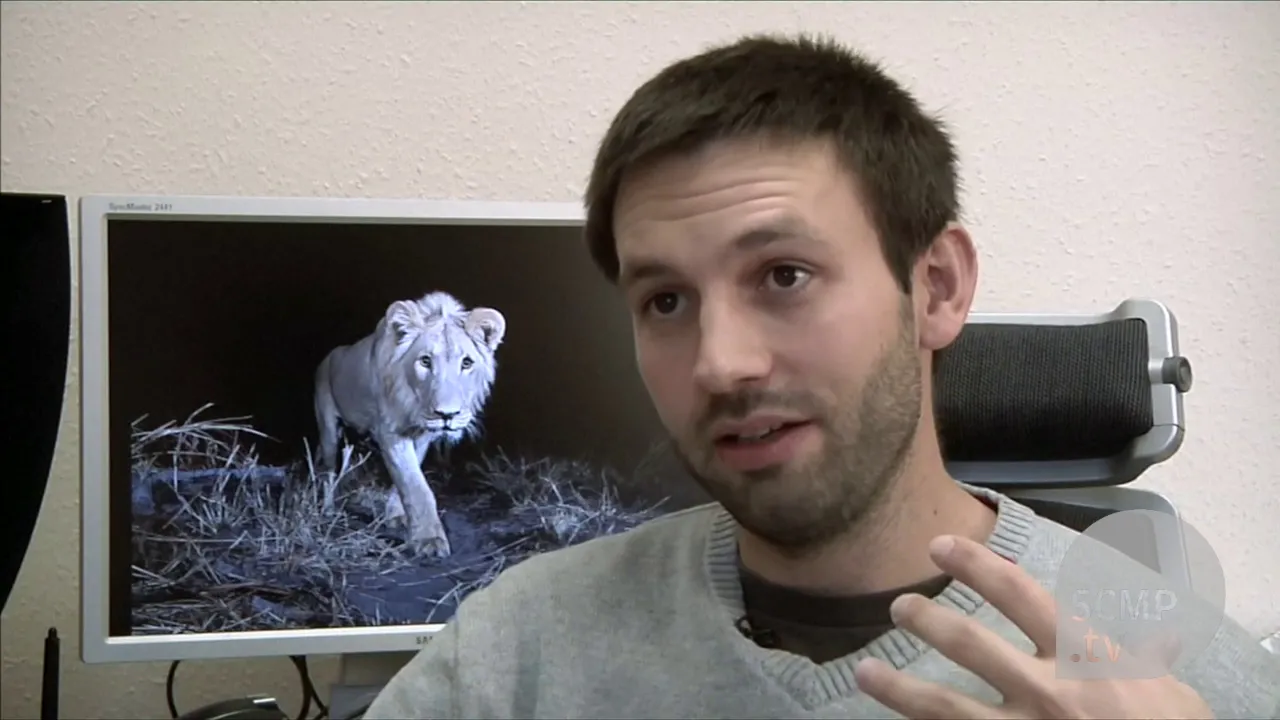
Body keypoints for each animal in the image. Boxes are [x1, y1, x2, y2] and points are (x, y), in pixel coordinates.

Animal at [313, 290, 507, 559]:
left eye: (467, 363)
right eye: (425, 361)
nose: (447, 415)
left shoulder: (422, 434)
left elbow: (405, 481)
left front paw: (396, 517)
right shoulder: (389, 431)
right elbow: (415, 485)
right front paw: (429, 541)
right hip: (329, 429)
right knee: (328, 469)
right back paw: (328, 509)